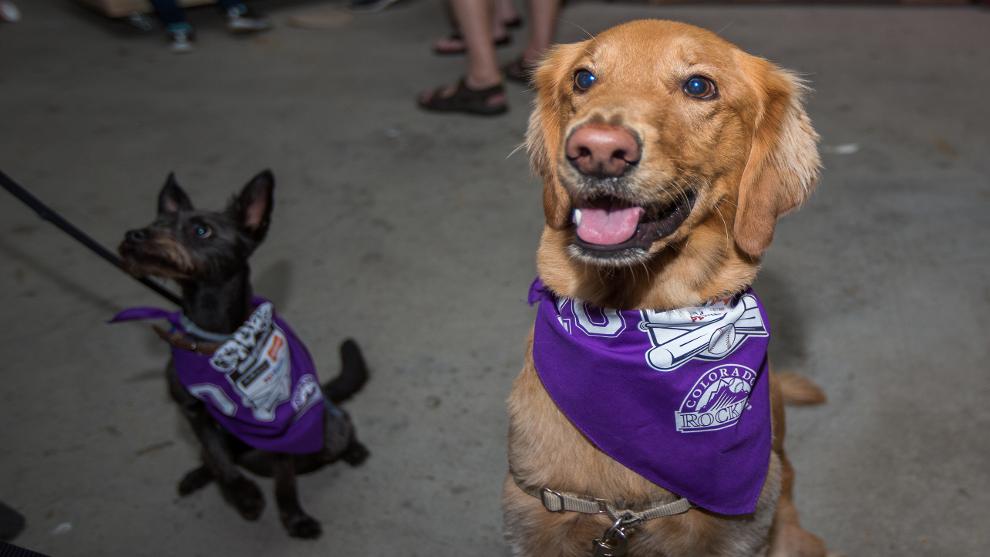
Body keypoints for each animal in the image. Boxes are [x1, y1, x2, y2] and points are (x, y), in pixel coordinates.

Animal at [117, 170, 372, 540]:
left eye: (201, 230)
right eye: (156, 223)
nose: (134, 235)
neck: (221, 340)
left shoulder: (281, 425)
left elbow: (285, 485)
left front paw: (294, 519)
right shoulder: (193, 411)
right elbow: (216, 456)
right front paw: (243, 495)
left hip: (327, 428)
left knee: (342, 425)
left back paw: (353, 449)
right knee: (218, 455)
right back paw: (201, 475)